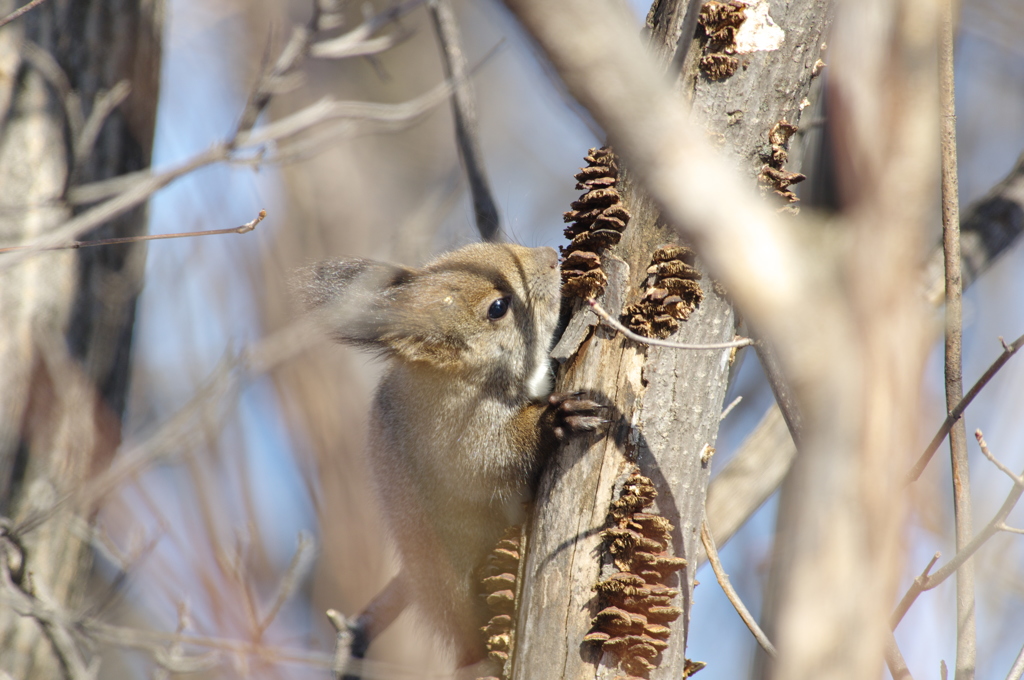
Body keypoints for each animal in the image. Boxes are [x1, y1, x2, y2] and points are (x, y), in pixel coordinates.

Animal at [299, 242, 598, 675]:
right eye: (498, 307)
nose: (549, 255)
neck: (460, 377)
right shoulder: (454, 436)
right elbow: (493, 457)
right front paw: (554, 420)